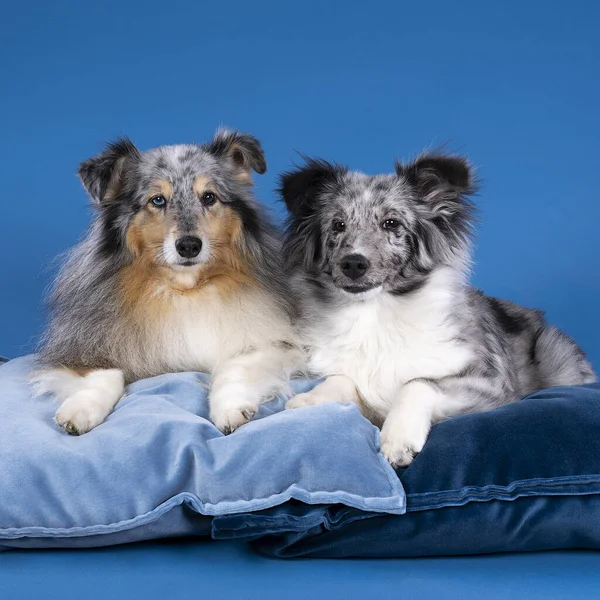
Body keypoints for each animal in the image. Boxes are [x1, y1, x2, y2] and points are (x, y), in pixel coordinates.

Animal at [35, 129, 302, 434]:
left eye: (208, 197)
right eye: (157, 200)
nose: (189, 246)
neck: (184, 289)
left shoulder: (273, 340)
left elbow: (234, 367)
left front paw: (231, 407)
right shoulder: (88, 344)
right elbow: (104, 373)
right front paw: (80, 409)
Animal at [278, 152, 596, 466]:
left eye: (391, 223)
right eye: (338, 225)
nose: (353, 264)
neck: (377, 313)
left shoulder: (491, 386)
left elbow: (418, 382)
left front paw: (398, 439)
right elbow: (342, 379)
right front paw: (308, 401)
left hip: (554, 352)